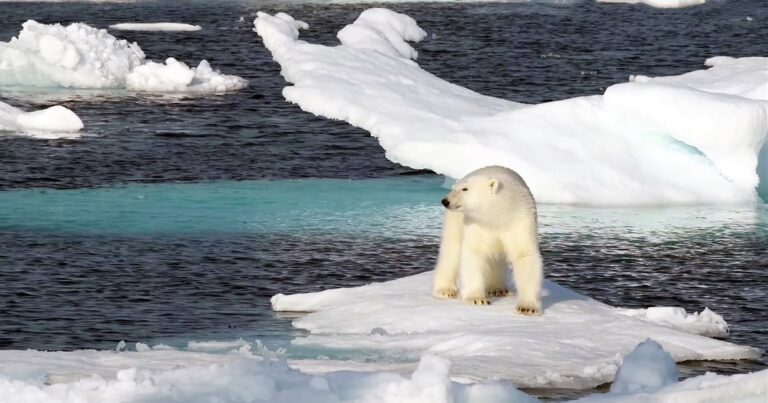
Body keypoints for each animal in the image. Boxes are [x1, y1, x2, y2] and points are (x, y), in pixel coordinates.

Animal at [431, 165, 543, 315]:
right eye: (454, 188)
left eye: (465, 189)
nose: (445, 201)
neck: (497, 215)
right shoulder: (475, 223)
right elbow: (473, 252)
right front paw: (476, 299)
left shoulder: (519, 221)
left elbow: (524, 254)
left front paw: (527, 307)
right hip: (454, 220)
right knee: (452, 249)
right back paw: (445, 290)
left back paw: (497, 288)